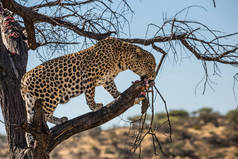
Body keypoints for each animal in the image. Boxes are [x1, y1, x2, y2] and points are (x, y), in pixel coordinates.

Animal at [20, 36, 156, 146]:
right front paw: (94, 107)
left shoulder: (107, 79)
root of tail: (24, 78)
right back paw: (36, 137)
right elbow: (90, 94)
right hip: (49, 97)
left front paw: (119, 95)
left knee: (34, 120)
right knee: (39, 120)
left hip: (33, 102)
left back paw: (53, 124)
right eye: (150, 66)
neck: (121, 60)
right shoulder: (89, 75)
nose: (153, 77)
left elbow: (112, 88)